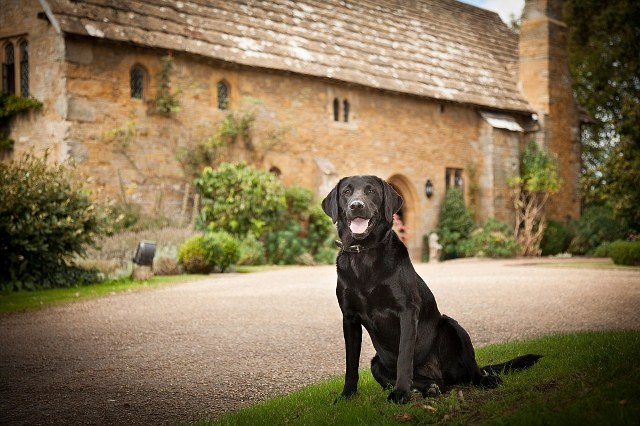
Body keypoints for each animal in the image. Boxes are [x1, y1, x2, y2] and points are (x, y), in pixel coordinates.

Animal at [320, 176, 540, 402]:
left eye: (371, 191)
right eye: (346, 192)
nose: (356, 206)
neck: (364, 254)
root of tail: (442, 375)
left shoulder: (407, 311)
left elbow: (404, 357)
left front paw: (400, 393)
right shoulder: (350, 318)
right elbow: (351, 364)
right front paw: (347, 396)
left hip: (453, 325)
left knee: (473, 369)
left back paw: (483, 380)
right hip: (376, 364)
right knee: (435, 382)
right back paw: (428, 387)